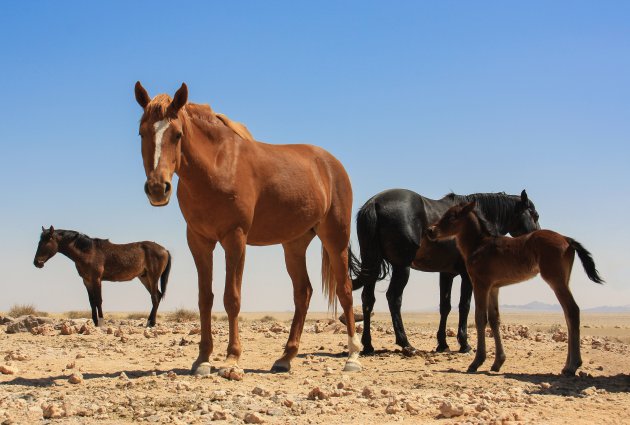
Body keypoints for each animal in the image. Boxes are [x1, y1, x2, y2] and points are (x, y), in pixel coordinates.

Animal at [33, 227, 172, 326]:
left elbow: (98, 300)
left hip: (153, 277)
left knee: (155, 297)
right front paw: (95, 323)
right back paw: (150, 322)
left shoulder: (96, 279)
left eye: (47, 241)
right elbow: (91, 301)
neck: (88, 252)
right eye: (39, 241)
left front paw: (101, 323)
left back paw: (151, 323)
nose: (37, 262)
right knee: (157, 295)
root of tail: (165, 250)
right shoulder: (86, 281)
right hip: (144, 278)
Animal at [133, 81, 360, 372]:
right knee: (303, 292)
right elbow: (205, 298)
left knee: (344, 290)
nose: (157, 189)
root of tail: (331, 164)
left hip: (335, 238)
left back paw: (353, 356)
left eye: (177, 134)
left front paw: (232, 359)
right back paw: (286, 357)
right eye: (141, 133)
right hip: (294, 244)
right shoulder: (199, 241)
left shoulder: (235, 239)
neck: (217, 166)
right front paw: (203, 359)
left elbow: (232, 298)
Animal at [348, 189, 540, 354]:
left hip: (372, 264)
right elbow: (464, 306)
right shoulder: (467, 276)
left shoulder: (446, 274)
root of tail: (374, 203)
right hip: (402, 267)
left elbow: (445, 306)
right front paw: (464, 344)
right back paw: (406, 344)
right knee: (394, 298)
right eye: (535, 214)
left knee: (368, 299)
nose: (539, 236)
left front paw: (442, 344)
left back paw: (368, 345)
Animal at [428, 202, 604, 374]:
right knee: (568, 314)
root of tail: (567, 239)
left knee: (572, 310)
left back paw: (573, 366)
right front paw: (497, 362)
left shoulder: (480, 284)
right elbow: (494, 319)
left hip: (556, 280)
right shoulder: (494, 287)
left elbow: (480, 318)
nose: (430, 231)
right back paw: (568, 365)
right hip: (564, 280)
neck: (478, 245)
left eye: (452, 216)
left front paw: (476, 362)